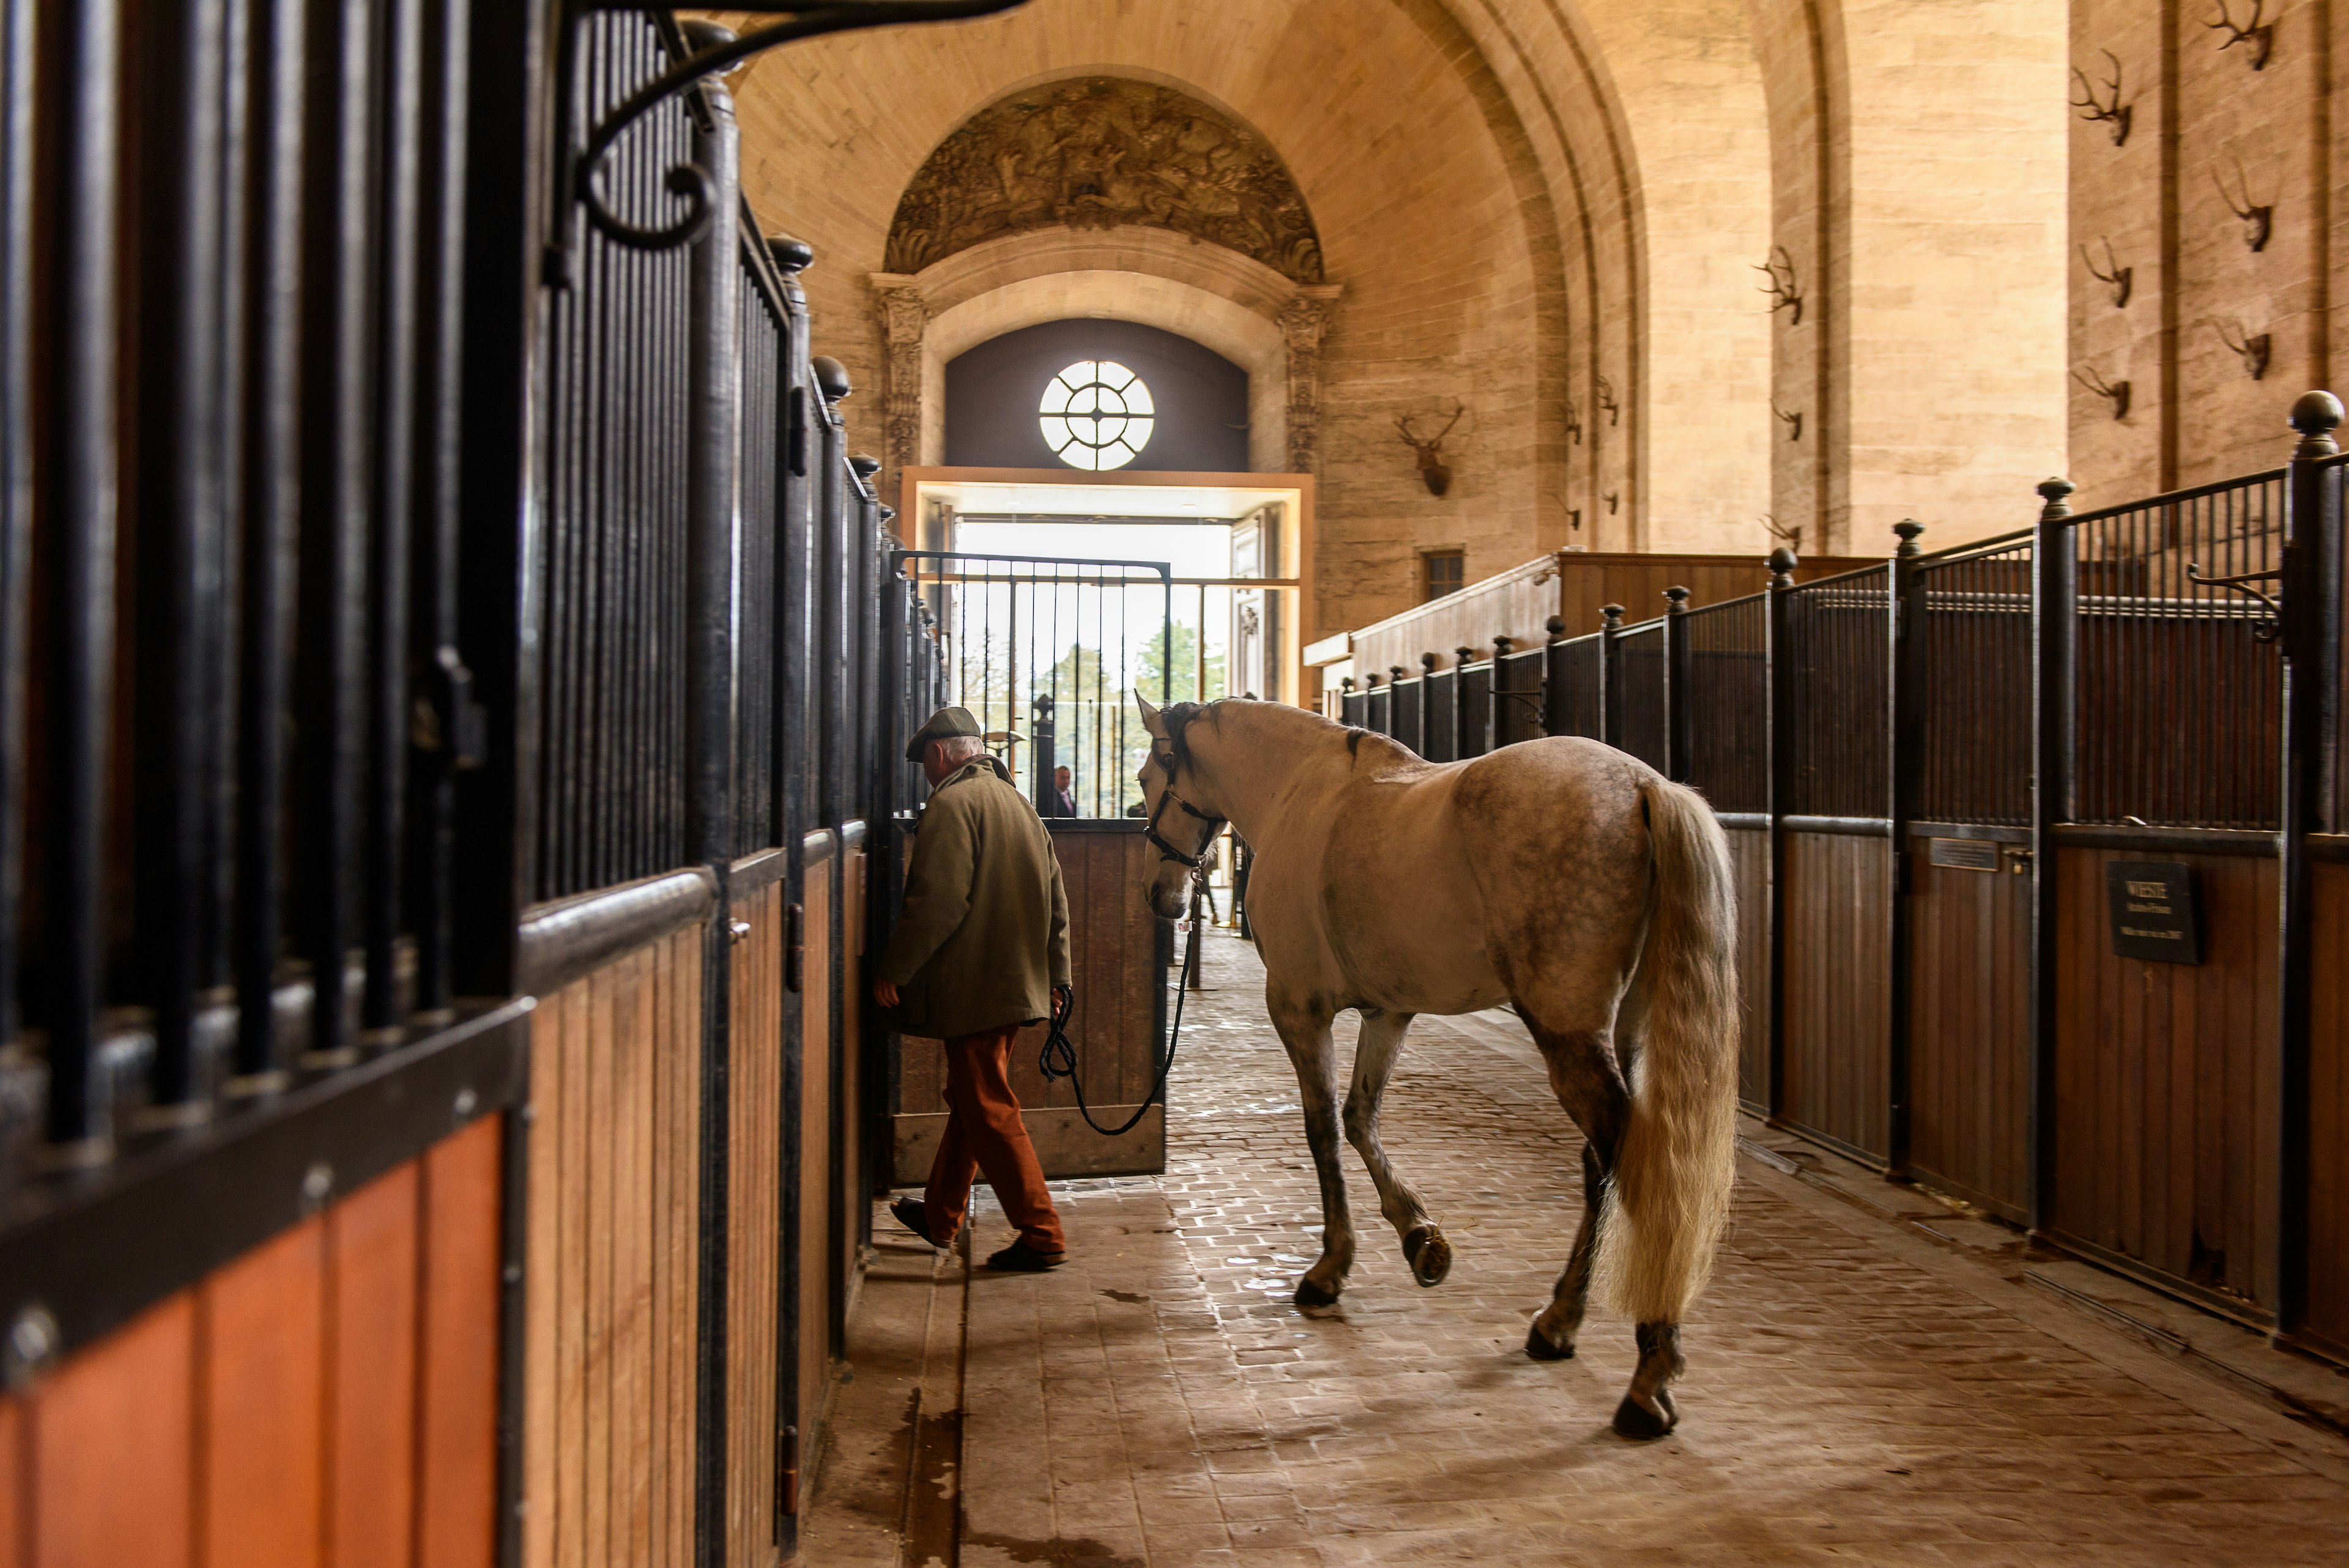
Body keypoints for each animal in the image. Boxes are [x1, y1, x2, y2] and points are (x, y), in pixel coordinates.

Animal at [1127, 700, 1738, 1448]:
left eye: (1146, 777)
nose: (1161, 895)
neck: (1297, 790)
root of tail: (1644, 786)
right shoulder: (1390, 1011)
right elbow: (1360, 1120)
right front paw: (1421, 1240)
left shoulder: (1298, 1009)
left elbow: (1322, 1131)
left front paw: (1329, 1270)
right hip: (1620, 1034)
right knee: (1602, 1166)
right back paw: (1559, 1322)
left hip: (1567, 1034)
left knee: (1626, 1161)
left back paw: (1649, 1377)